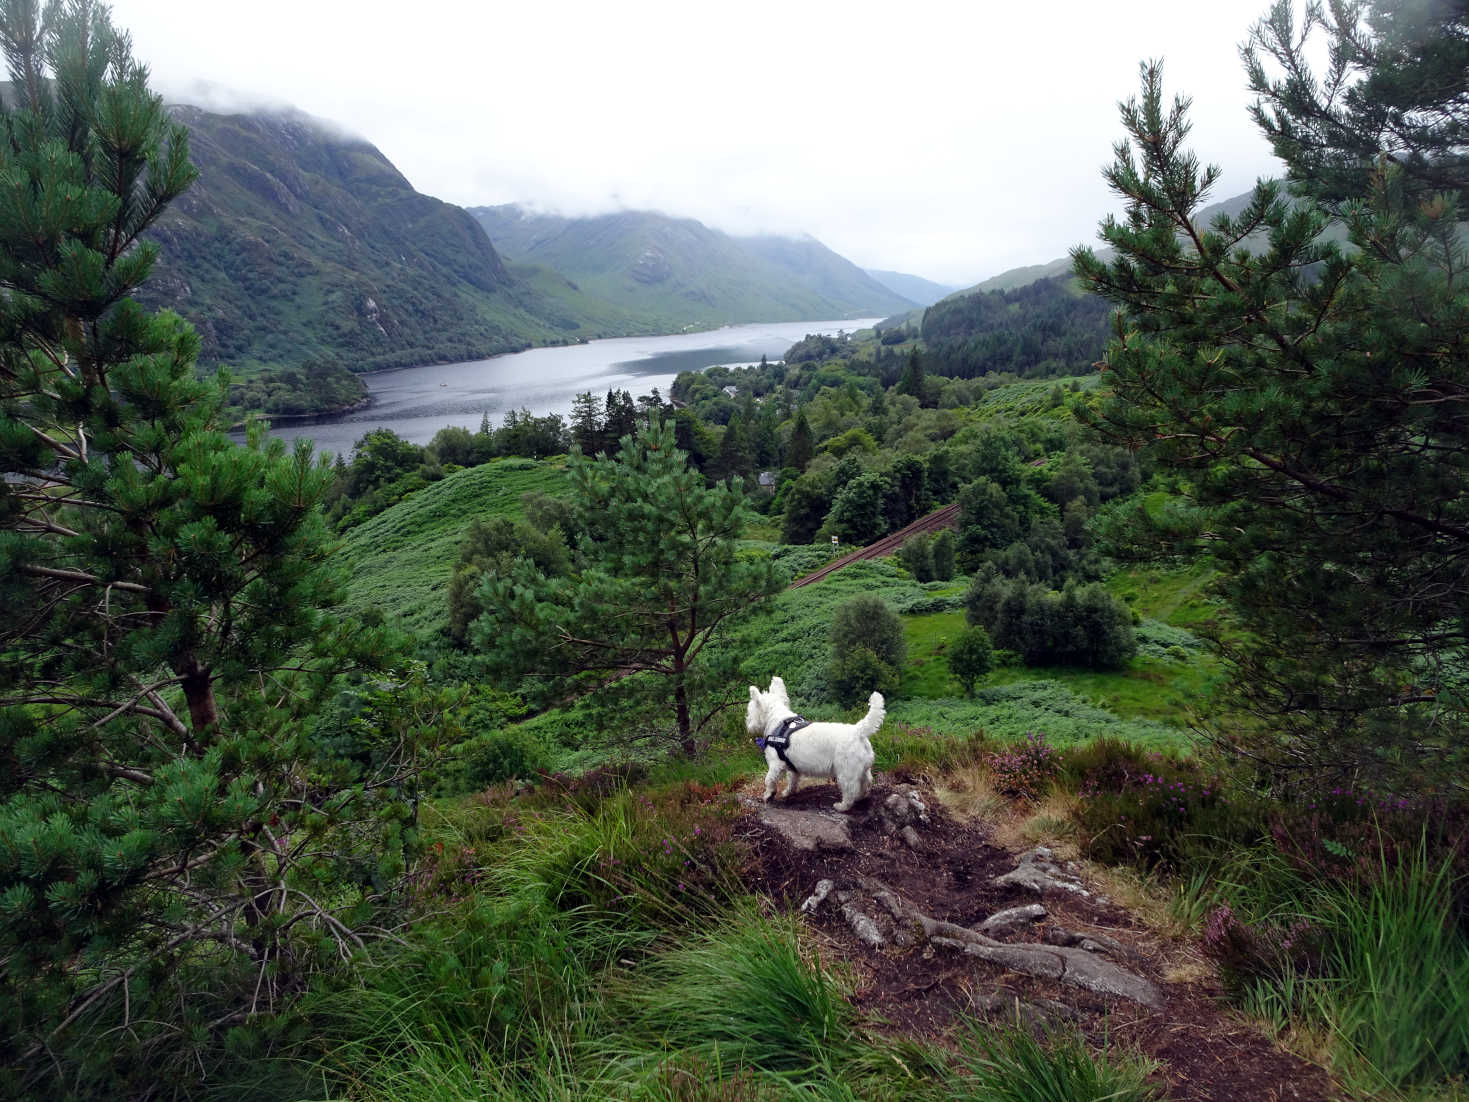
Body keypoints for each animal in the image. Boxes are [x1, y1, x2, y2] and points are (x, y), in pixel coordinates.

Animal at [746, 678, 881, 816]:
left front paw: (768, 795)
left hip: (845, 771)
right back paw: (860, 797)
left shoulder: (776, 764)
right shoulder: (792, 767)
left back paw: (842, 806)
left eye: (749, 711)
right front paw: (788, 792)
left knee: (850, 791)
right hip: (862, 768)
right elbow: (792, 780)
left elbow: (769, 780)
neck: (778, 723)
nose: (748, 724)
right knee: (866, 782)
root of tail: (859, 731)